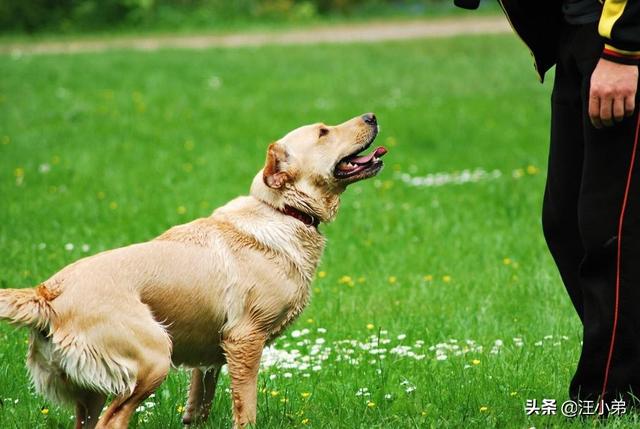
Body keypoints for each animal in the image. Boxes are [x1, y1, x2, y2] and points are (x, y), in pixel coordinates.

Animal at [0, 112, 384, 426]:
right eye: (323, 132)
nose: (372, 116)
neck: (283, 211)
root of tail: (47, 294)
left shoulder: (211, 355)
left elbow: (198, 407)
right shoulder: (245, 340)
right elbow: (246, 411)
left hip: (90, 392)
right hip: (153, 358)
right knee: (114, 419)